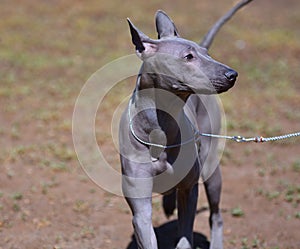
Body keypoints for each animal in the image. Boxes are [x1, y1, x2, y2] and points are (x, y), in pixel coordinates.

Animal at [119, 1, 251, 247]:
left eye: (206, 54)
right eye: (188, 57)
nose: (232, 74)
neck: (159, 127)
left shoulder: (190, 190)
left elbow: (185, 235)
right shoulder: (140, 208)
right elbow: (145, 226)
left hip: (210, 166)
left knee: (216, 214)